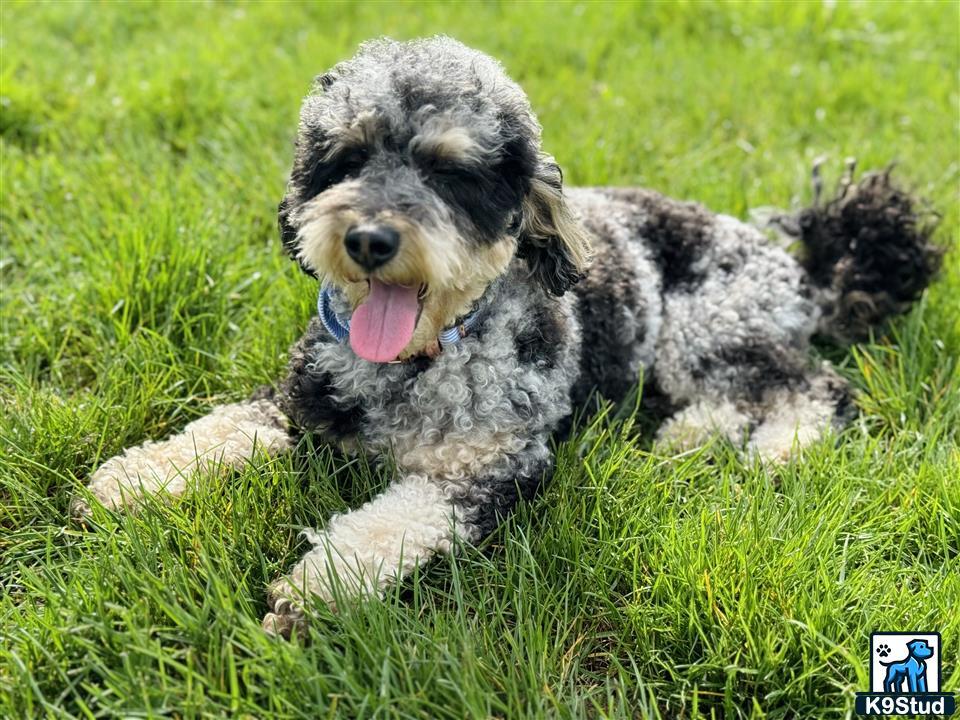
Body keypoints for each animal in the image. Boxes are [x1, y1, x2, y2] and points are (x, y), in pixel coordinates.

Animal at [73, 38, 936, 636]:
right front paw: (135, 480)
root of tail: (804, 270)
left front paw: (316, 589)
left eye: (452, 172)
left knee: (815, 386)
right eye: (344, 158)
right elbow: (220, 428)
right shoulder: (299, 395)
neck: (419, 361)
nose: (369, 239)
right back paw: (689, 439)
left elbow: (394, 523)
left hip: (710, 324)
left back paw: (778, 449)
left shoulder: (495, 468)